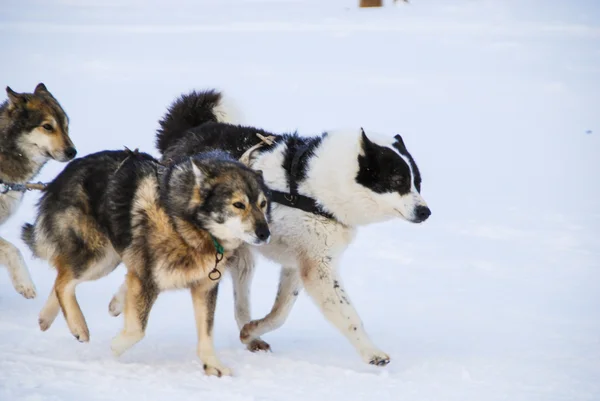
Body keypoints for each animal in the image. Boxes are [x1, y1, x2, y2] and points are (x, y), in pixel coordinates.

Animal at [21, 148, 270, 376]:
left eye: (264, 204)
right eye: (238, 205)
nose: (265, 233)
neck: (185, 225)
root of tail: (64, 173)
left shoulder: (205, 287)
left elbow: (207, 333)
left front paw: (213, 365)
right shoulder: (146, 279)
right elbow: (137, 330)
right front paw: (114, 347)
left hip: (107, 259)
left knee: (62, 278)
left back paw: (47, 318)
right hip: (98, 256)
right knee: (64, 281)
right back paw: (79, 326)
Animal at [111, 90, 432, 366]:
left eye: (417, 182)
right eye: (397, 181)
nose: (426, 212)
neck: (314, 189)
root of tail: (191, 132)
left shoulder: (301, 264)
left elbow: (280, 313)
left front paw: (252, 331)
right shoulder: (319, 270)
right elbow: (348, 315)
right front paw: (372, 353)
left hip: (242, 256)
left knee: (241, 302)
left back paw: (249, 336)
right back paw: (119, 301)